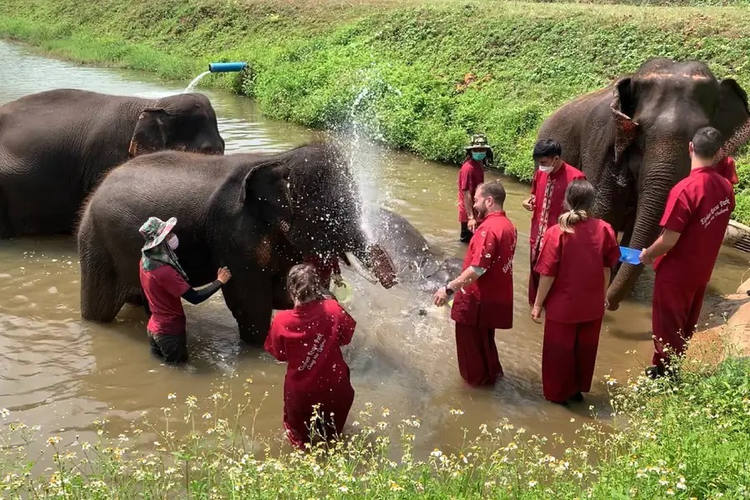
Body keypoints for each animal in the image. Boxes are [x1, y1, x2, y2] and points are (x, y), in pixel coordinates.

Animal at [77, 143, 396, 344]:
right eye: (332, 213)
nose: (393, 280)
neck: (280, 158)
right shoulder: (233, 232)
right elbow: (249, 301)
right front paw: (258, 347)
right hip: (96, 244)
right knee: (99, 308)